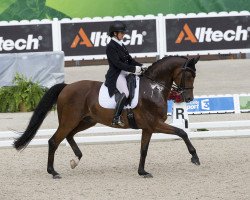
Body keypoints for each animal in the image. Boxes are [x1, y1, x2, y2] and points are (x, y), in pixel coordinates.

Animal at [13, 55, 201, 179]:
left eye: (194, 76)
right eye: (188, 75)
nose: (189, 98)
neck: (153, 88)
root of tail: (66, 87)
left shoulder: (148, 128)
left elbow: (144, 150)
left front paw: (142, 172)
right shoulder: (155, 124)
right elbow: (182, 132)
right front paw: (195, 157)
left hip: (86, 121)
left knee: (69, 135)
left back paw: (75, 159)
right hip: (69, 120)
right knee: (54, 141)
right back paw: (53, 172)